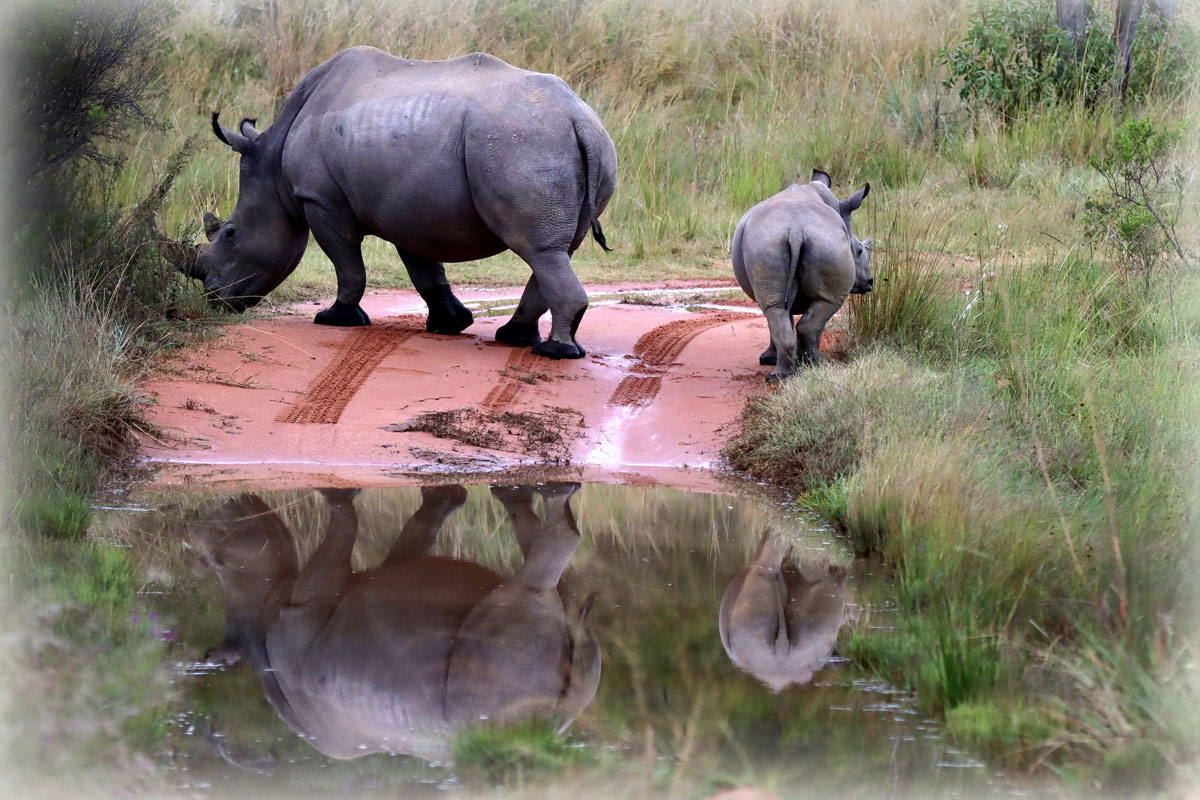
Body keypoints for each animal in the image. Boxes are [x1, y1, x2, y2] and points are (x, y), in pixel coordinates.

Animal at [160, 47, 619, 359]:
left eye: (231, 234)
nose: (215, 300)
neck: (273, 165)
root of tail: (579, 119)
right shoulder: (411, 207)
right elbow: (425, 270)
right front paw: (449, 324)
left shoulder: (321, 199)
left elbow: (348, 265)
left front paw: (335, 319)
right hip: (565, 144)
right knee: (556, 248)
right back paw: (515, 338)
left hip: (520, 143)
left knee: (538, 248)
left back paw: (553, 352)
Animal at [194, 484, 600, 762]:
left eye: (213, 560)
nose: (202, 519)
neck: (259, 617)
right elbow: (417, 533)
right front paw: (444, 494)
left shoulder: (309, 598)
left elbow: (343, 523)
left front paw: (336, 490)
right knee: (553, 590)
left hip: (503, 670)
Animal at [729, 170, 873, 381]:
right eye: (860, 251)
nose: (870, 282)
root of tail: (795, 229)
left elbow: (781, 316)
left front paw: (768, 359)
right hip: (825, 243)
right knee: (826, 303)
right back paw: (813, 363)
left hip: (768, 244)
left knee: (775, 308)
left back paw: (780, 375)